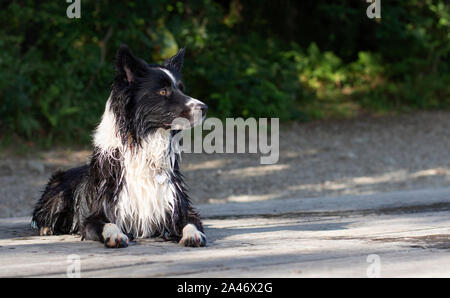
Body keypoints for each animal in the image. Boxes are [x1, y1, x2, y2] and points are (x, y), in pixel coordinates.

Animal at [30, 44, 208, 248]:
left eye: (181, 89)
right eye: (163, 91)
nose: (204, 108)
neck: (142, 143)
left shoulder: (177, 207)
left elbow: (191, 221)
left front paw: (193, 234)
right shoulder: (97, 214)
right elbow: (107, 224)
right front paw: (114, 235)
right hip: (58, 195)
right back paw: (47, 228)